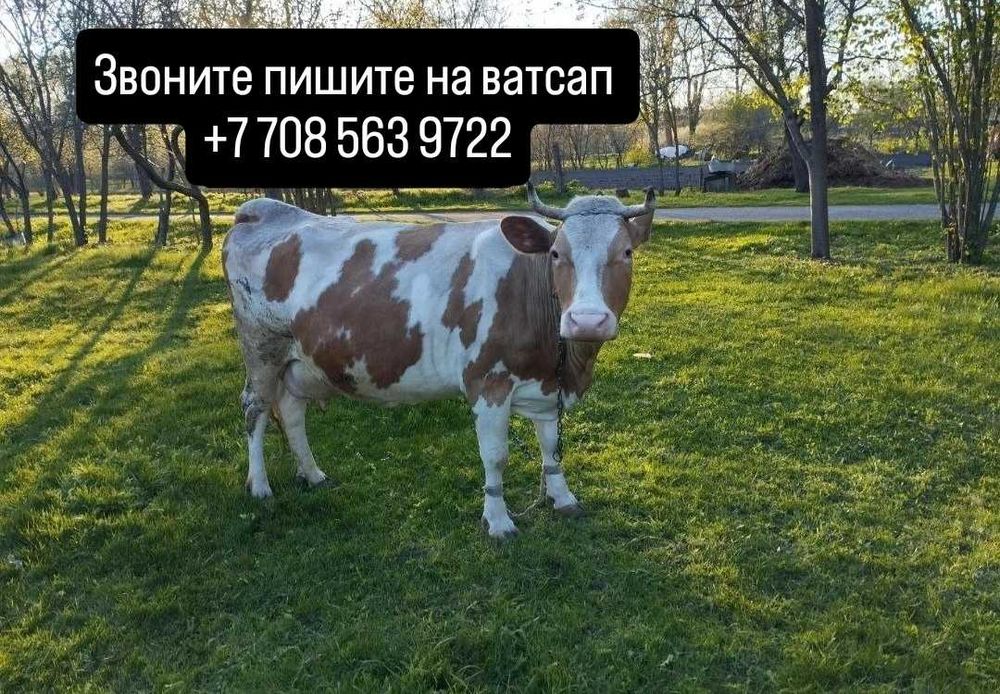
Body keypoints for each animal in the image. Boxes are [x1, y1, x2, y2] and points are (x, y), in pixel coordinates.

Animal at [222, 184, 657, 538]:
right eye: (555, 254)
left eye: (626, 253)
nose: (587, 320)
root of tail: (263, 209)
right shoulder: (487, 382)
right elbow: (495, 457)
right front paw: (498, 521)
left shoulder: (545, 384)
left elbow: (551, 449)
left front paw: (563, 498)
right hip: (261, 348)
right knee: (255, 409)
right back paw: (260, 486)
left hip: (300, 361)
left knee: (292, 411)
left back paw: (312, 474)